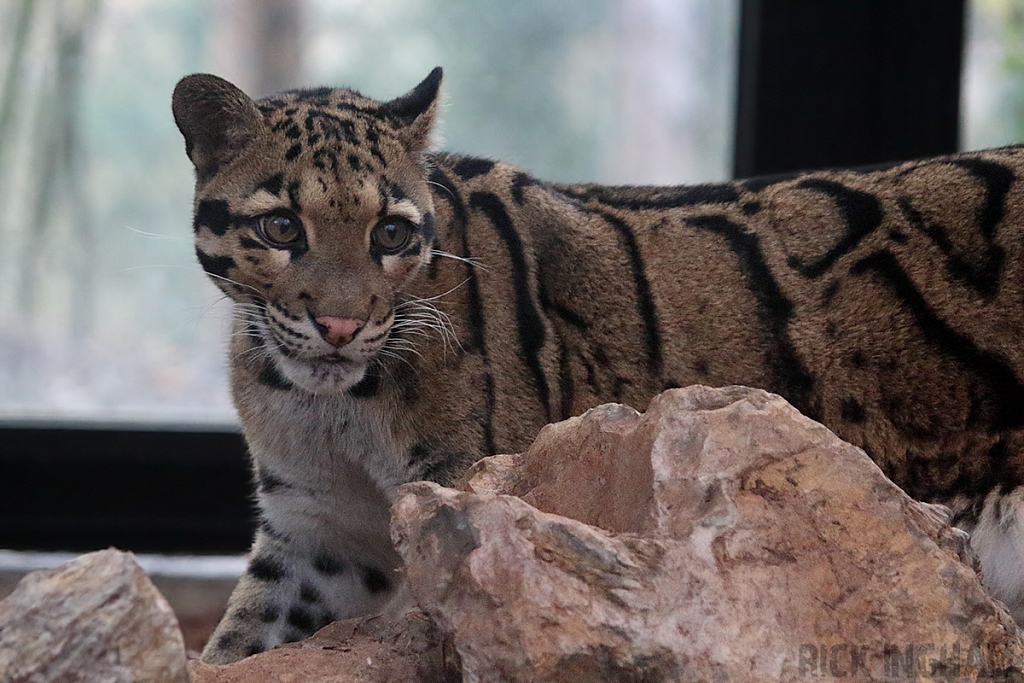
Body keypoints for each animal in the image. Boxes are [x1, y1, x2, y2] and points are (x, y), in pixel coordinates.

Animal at [172, 65, 1024, 663]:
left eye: (390, 233)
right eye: (283, 226)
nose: (342, 324)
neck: (331, 403)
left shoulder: (465, 495)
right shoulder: (319, 529)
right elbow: (241, 639)